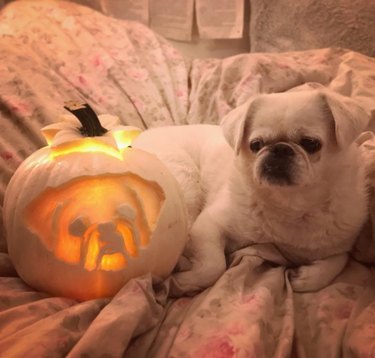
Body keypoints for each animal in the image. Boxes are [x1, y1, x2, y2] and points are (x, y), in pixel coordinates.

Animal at [132, 88, 370, 292]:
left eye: (311, 143)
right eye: (256, 145)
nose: (280, 149)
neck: (290, 205)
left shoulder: (339, 243)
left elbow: (339, 260)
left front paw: (308, 277)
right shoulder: (206, 227)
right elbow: (214, 266)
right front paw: (184, 281)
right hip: (185, 184)